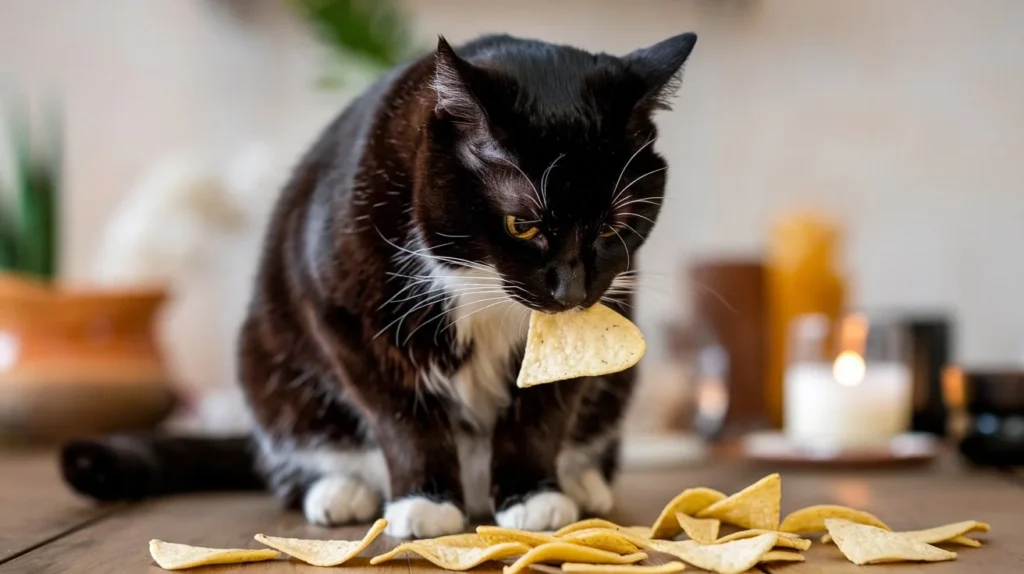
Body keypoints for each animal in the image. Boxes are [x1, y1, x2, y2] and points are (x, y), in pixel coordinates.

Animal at [61, 33, 696, 536]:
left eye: (614, 225)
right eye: (524, 224)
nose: (571, 293)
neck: (482, 285)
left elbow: (546, 407)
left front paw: (534, 496)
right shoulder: (342, 313)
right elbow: (400, 414)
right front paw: (424, 501)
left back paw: (584, 482)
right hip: (267, 363)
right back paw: (340, 491)